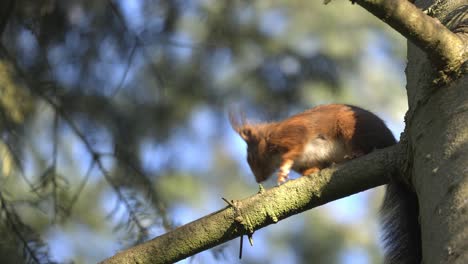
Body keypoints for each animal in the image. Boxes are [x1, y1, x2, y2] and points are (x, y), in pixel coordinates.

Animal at [229, 104, 420, 264]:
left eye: (252, 158)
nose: (258, 179)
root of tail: (390, 140)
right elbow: (309, 165)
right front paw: (309, 172)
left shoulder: (294, 133)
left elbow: (294, 149)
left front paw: (283, 169)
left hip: (349, 126)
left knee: (367, 145)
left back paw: (356, 153)